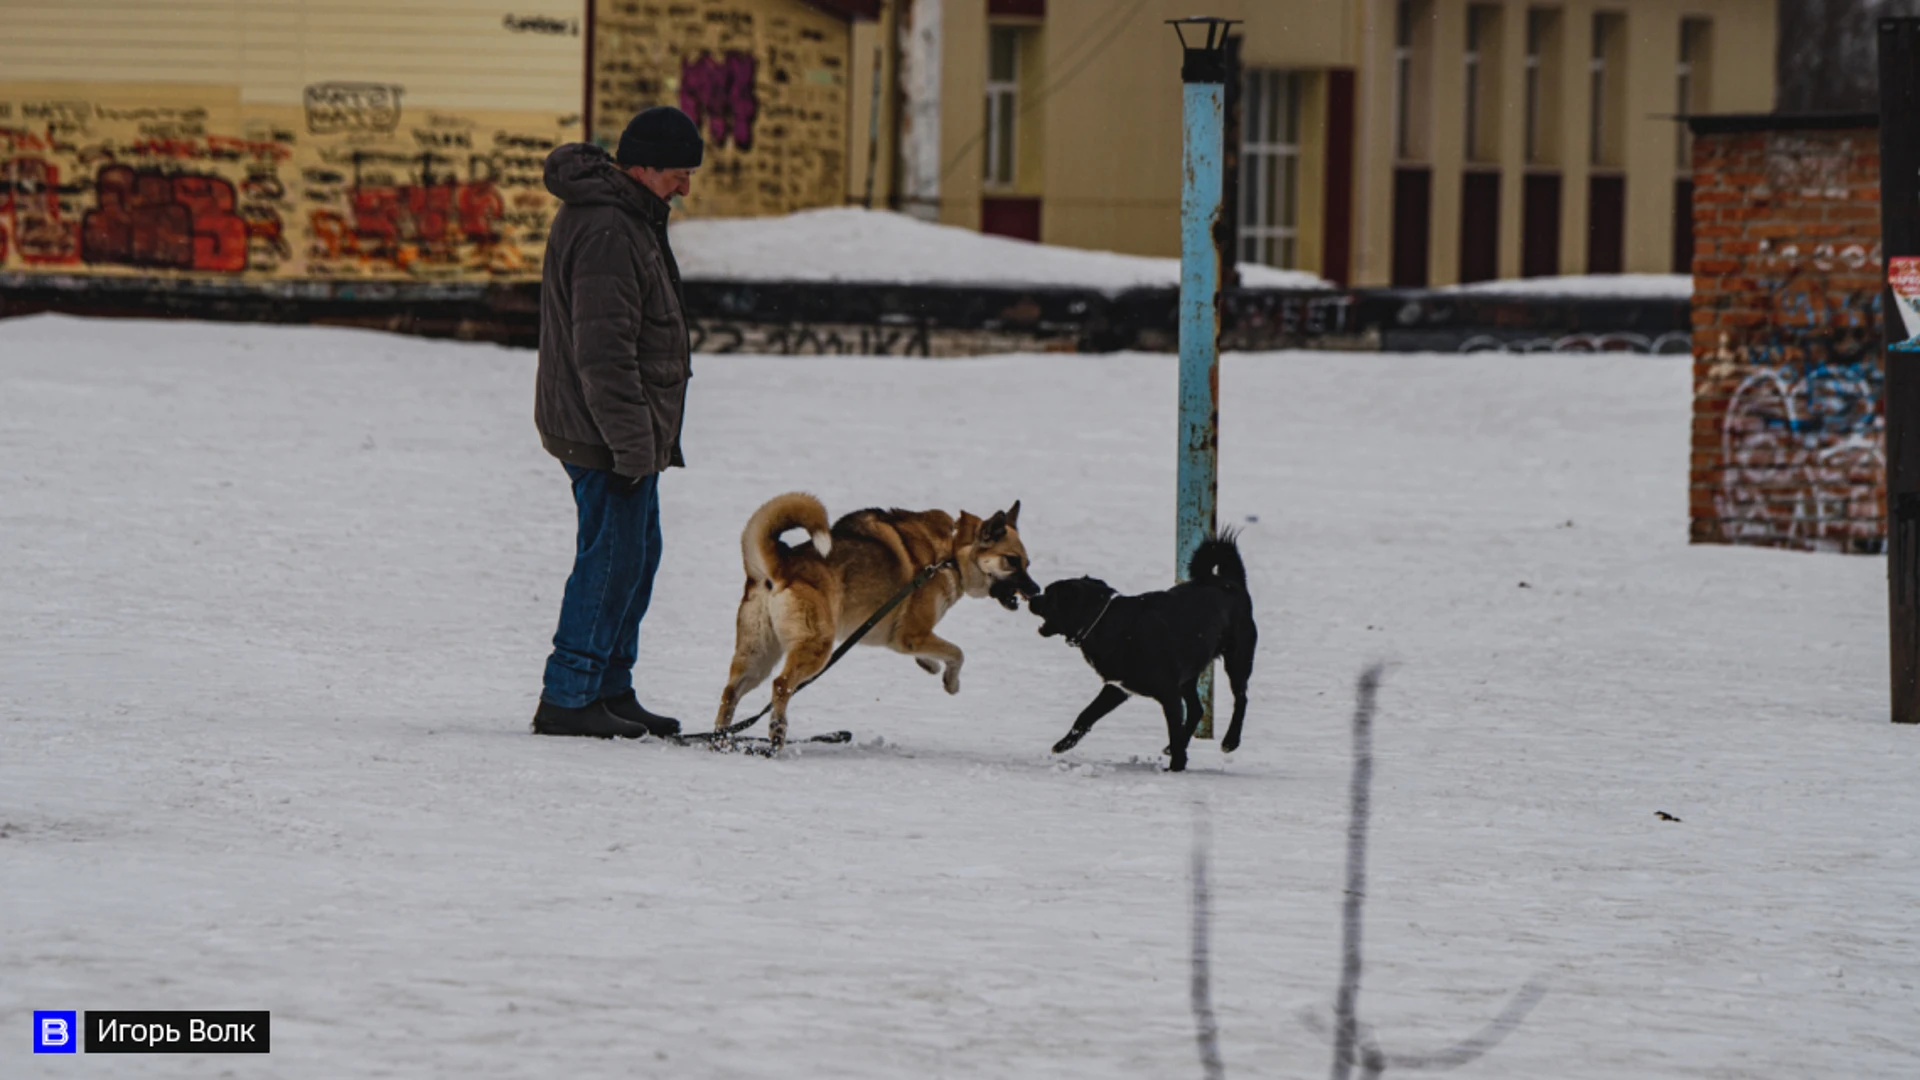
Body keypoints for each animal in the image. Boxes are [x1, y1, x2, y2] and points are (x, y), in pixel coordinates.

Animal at [714, 491, 1044, 745]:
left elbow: (937, 653)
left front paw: (929, 665)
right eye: (1012, 561)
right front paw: (950, 681)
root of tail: (779, 567)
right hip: (816, 647)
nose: (1037, 591)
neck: (950, 554)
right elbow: (957, 653)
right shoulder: (912, 634)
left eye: (1028, 563)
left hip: (757, 654)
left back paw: (721, 739)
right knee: (782, 685)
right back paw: (777, 732)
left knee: (730, 692)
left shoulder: (909, 639)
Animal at [1029, 530, 1251, 764]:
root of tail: (1230, 581)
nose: (1032, 598)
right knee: (1197, 709)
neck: (1104, 621)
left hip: (1237, 659)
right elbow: (1086, 715)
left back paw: (1230, 741)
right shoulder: (1117, 687)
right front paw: (1064, 744)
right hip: (1190, 675)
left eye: (1049, 594)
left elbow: (1173, 730)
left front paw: (1176, 766)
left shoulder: (1169, 694)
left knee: (1241, 698)